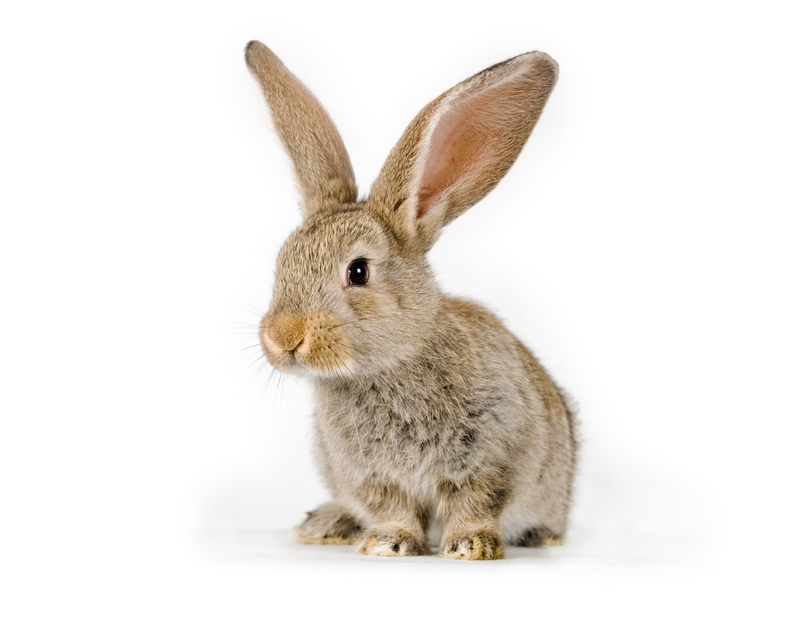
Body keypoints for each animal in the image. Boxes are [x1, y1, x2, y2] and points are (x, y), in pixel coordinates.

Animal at [244, 41, 576, 560]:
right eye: (282, 262)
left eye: (358, 272)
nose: (283, 337)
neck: (390, 365)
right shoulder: (371, 476)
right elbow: (393, 507)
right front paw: (387, 543)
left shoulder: (493, 454)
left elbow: (476, 501)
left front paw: (470, 547)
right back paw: (327, 523)